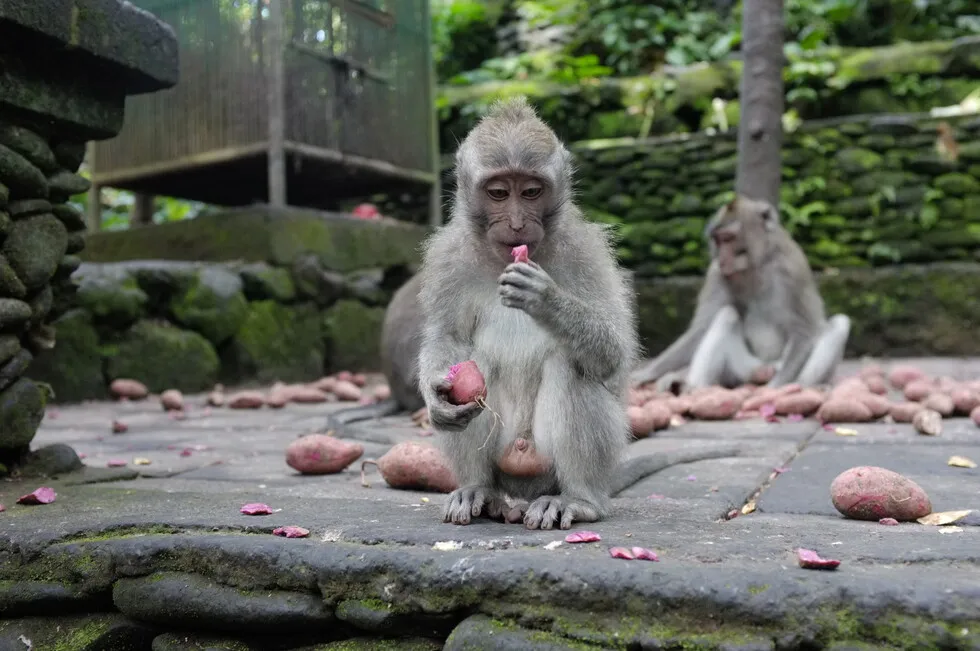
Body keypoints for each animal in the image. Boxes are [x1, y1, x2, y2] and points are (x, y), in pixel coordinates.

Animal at [414, 96, 642, 530]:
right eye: (500, 193)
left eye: (533, 191)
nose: (518, 223)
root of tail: (521, 490)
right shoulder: (449, 255)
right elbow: (447, 337)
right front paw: (436, 398)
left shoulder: (584, 250)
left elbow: (612, 353)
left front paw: (546, 299)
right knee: (477, 363)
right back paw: (478, 490)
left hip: (549, 465)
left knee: (574, 366)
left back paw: (577, 500)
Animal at [630, 195, 851, 392]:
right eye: (718, 240)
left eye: (728, 238)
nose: (721, 258)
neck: (754, 267)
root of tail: (762, 367)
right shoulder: (716, 274)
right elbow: (701, 328)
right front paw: (647, 373)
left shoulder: (793, 270)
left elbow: (804, 331)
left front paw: (775, 388)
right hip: (742, 371)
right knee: (727, 315)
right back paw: (691, 387)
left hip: (776, 365)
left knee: (839, 324)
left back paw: (805, 387)